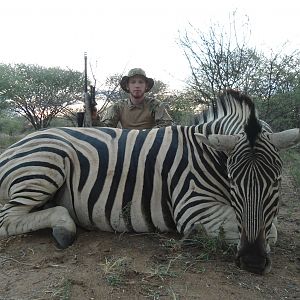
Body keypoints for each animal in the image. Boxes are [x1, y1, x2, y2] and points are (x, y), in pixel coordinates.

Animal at [0, 89, 298, 274]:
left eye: (276, 182)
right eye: (233, 181)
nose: (253, 262)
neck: (208, 154)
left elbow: (269, 227)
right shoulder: (192, 207)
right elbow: (267, 230)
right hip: (45, 162)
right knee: (7, 218)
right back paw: (64, 228)